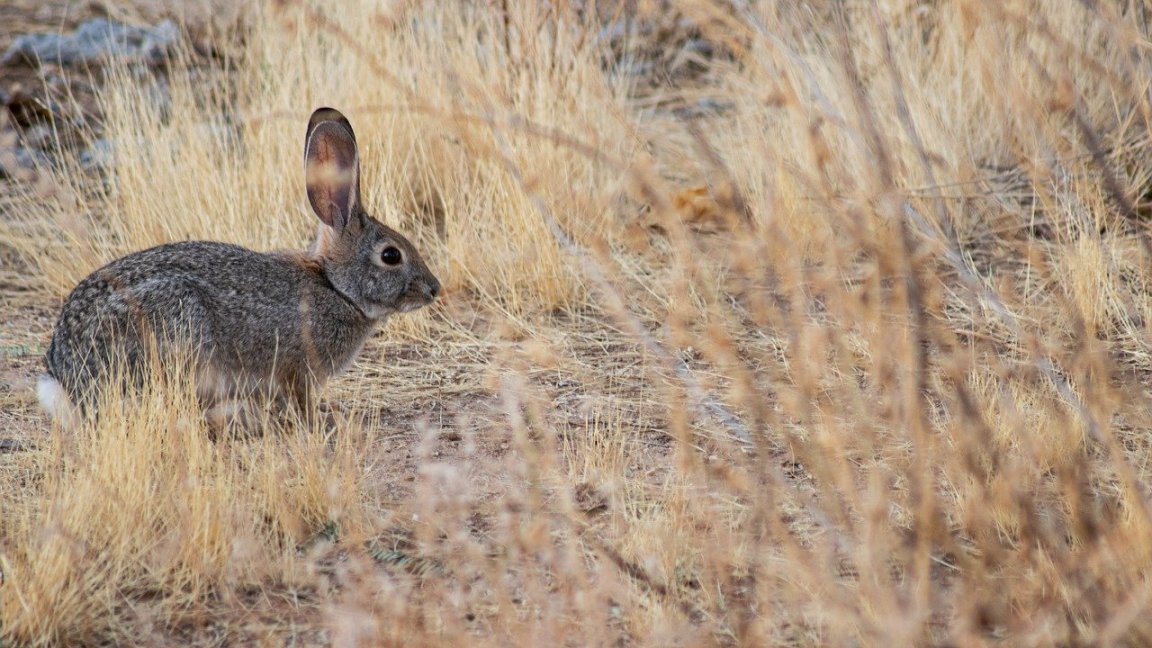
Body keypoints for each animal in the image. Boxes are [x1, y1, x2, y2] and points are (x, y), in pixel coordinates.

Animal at [38, 107, 441, 430]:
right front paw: (322, 422)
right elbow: (300, 403)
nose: (433, 288)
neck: (336, 287)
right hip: (180, 331)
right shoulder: (296, 371)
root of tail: (66, 376)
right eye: (391, 256)